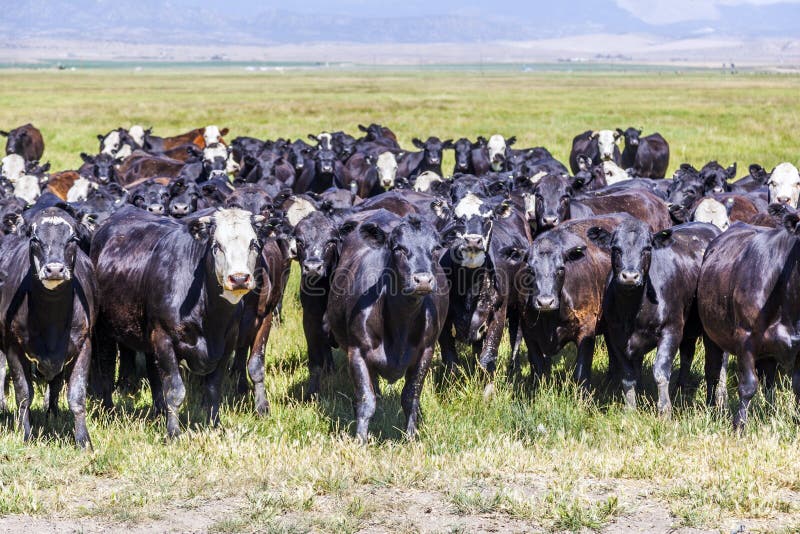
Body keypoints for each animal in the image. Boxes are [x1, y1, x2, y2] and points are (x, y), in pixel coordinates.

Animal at [0, 208, 95, 448]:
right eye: (34, 239)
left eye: (73, 239)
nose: (54, 269)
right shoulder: (14, 346)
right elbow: (24, 394)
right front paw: (25, 434)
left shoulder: (84, 344)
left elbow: (77, 396)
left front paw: (84, 442)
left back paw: (52, 413)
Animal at [326, 211, 450, 442]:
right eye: (398, 248)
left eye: (436, 248)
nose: (423, 280)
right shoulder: (357, 351)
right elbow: (366, 400)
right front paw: (360, 440)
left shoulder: (425, 351)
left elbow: (411, 397)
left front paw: (411, 437)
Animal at [588, 222, 720, 414]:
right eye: (616, 248)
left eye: (647, 248)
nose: (630, 276)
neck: (633, 312)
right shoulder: (616, 337)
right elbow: (628, 376)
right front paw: (630, 409)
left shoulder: (671, 330)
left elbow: (660, 372)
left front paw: (664, 410)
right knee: (687, 355)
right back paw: (680, 389)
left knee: (715, 367)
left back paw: (715, 400)